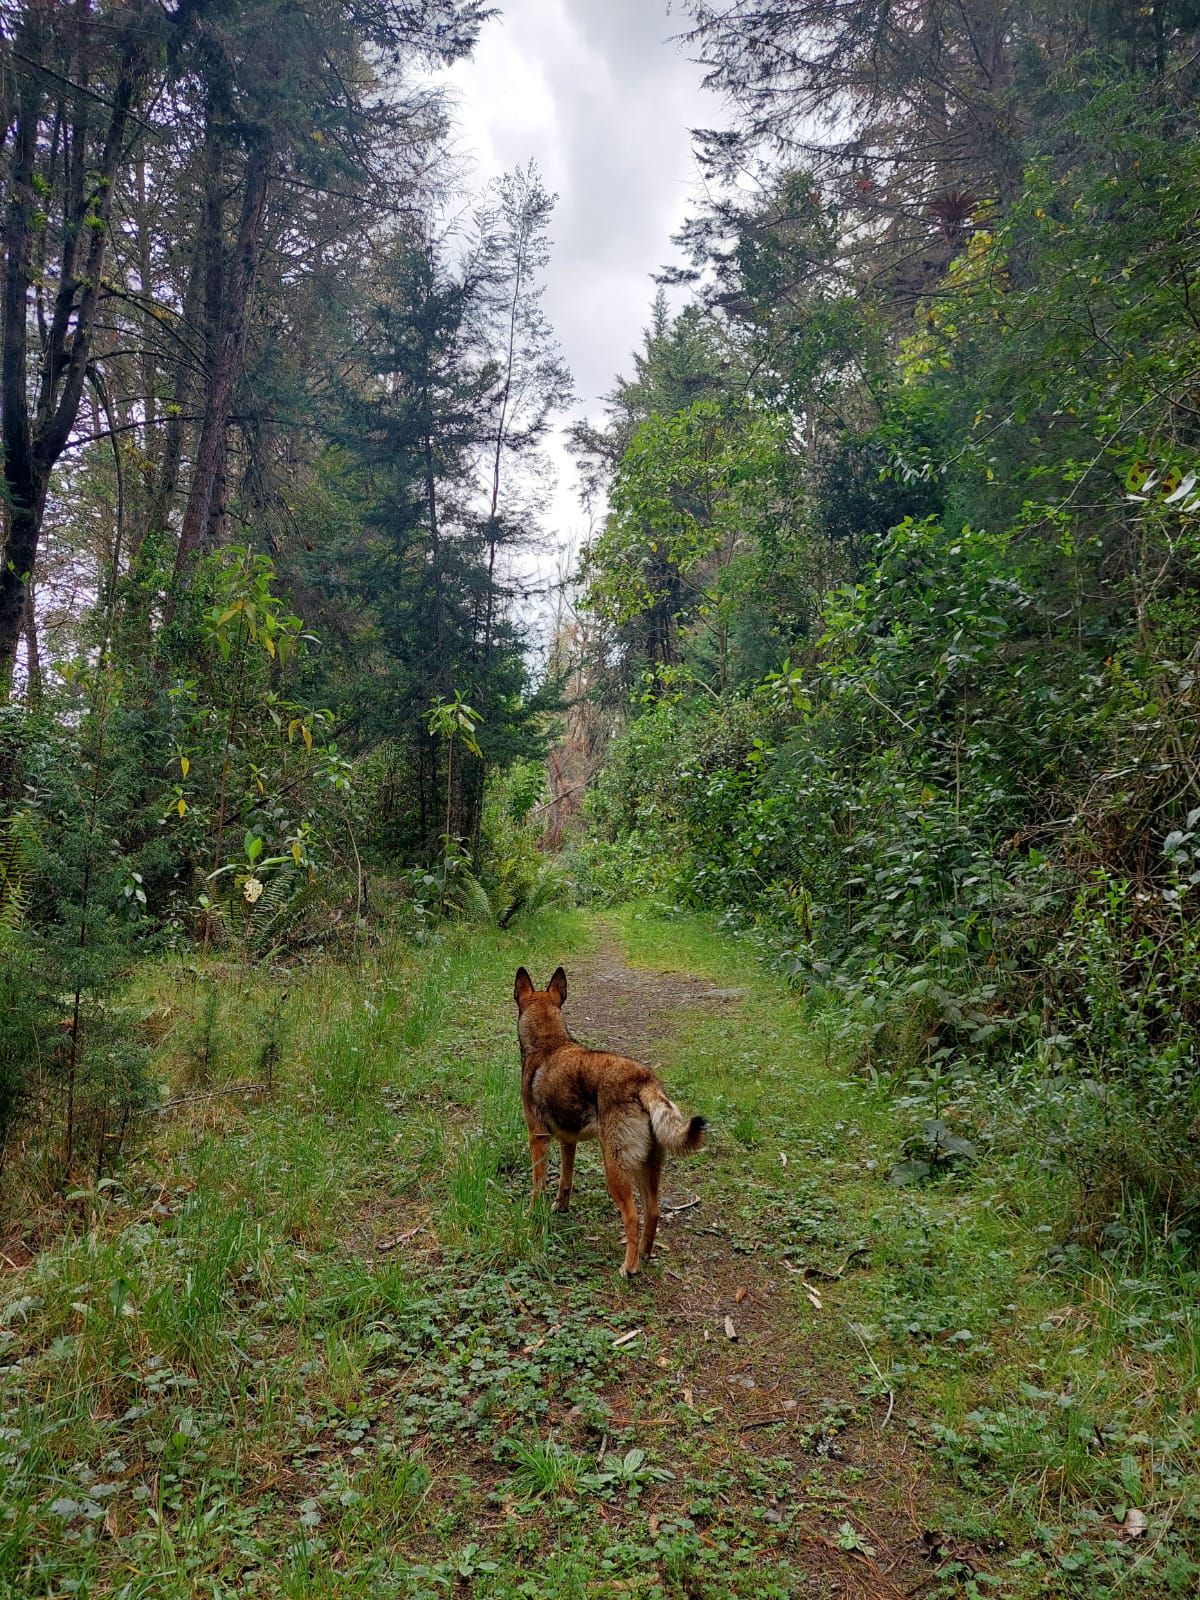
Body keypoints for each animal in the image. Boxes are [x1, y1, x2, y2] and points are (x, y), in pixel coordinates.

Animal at [515, 960, 704, 1273]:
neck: (549, 1043)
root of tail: (644, 1082)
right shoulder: (568, 1141)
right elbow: (565, 1180)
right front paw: (560, 1207)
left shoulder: (538, 1138)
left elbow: (537, 1185)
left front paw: (532, 1214)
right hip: (647, 1166)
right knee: (653, 1210)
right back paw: (644, 1254)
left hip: (615, 1168)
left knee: (633, 1216)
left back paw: (629, 1267)